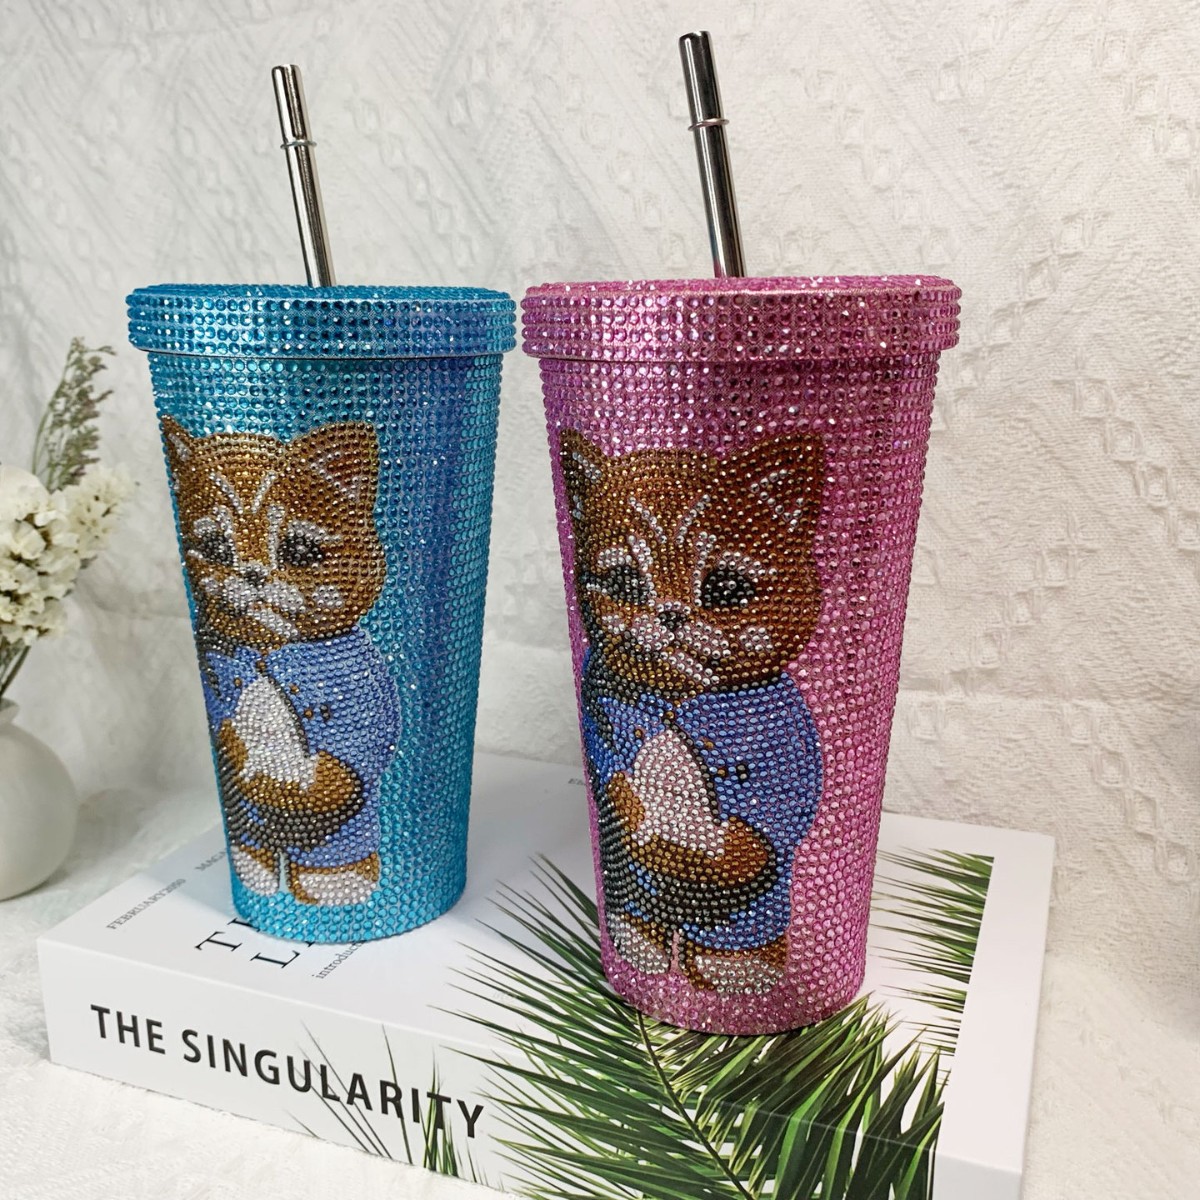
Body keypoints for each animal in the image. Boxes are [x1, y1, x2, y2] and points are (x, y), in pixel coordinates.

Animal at [162, 416, 400, 907]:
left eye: (299, 552)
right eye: (214, 547)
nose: (253, 575)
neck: (266, 650)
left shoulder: (362, 698)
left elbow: (353, 757)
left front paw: (280, 782)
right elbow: (227, 734)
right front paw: (246, 759)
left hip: (339, 839)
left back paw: (335, 884)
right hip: (247, 829)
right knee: (252, 844)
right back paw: (257, 872)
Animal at [561, 428, 824, 995]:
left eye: (725, 588)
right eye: (624, 584)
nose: (671, 614)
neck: (675, 699)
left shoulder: (786, 747)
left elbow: (771, 818)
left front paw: (708, 854)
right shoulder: (604, 724)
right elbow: (613, 781)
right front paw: (644, 823)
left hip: (749, 914)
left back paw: (738, 968)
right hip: (632, 892)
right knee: (639, 909)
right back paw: (639, 940)